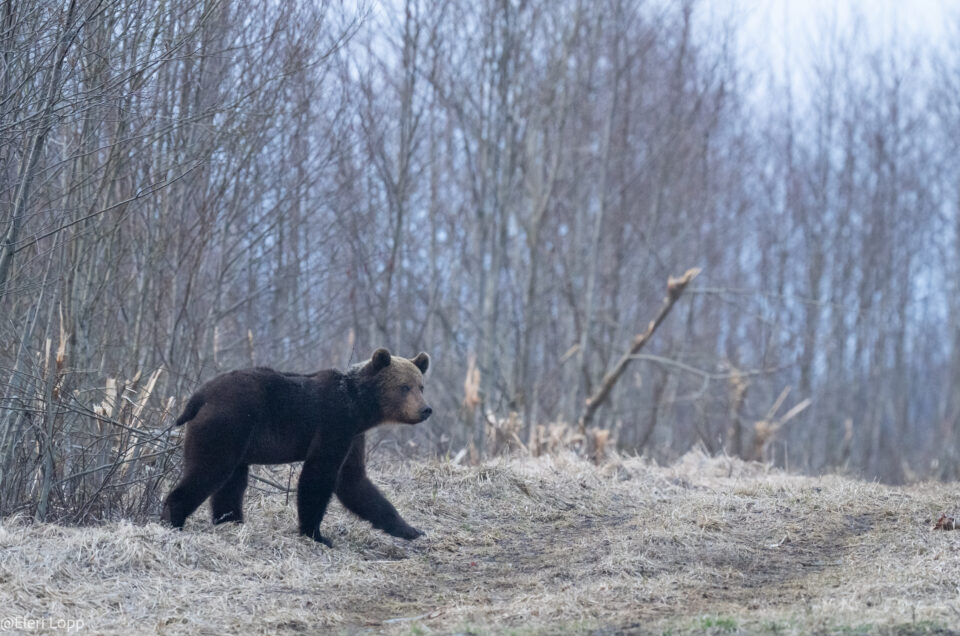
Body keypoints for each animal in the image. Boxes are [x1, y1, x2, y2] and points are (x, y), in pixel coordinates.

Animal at [160, 348, 432, 548]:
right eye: (404, 387)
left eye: (420, 386)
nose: (425, 409)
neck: (359, 406)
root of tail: (199, 396)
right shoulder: (334, 423)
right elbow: (319, 475)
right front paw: (317, 534)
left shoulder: (354, 436)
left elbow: (355, 482)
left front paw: (411, 529)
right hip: (227, 424)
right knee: (210, 469)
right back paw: (173, 518)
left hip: (237, 438)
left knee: (232, 483)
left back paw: (231, 521)